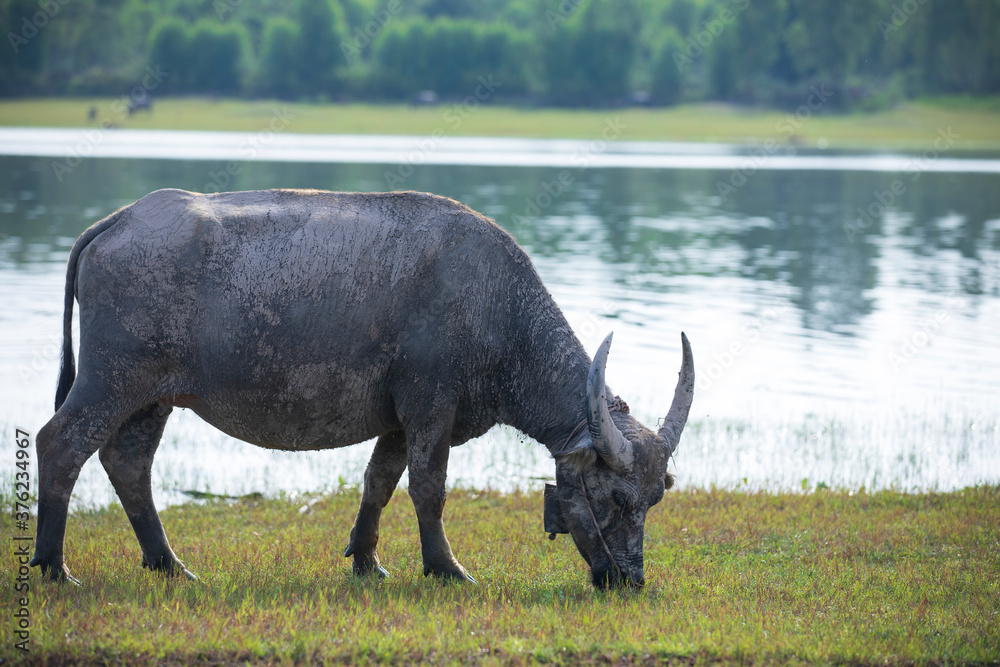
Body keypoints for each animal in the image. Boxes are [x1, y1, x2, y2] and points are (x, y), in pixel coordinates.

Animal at [31, 188, 692, 588]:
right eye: (615, 499)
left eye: (655, 499)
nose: (628, 580)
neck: (497, 308)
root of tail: (115, 222)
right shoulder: (429, 408)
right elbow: (428, 489)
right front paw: (445, 567)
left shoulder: (399, 419)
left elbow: (379, 482)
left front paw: (367, 561)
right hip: (111, 380)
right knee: (61, 445)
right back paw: (55, 567)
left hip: (151, 397)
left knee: (127, 462)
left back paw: (168, 565)